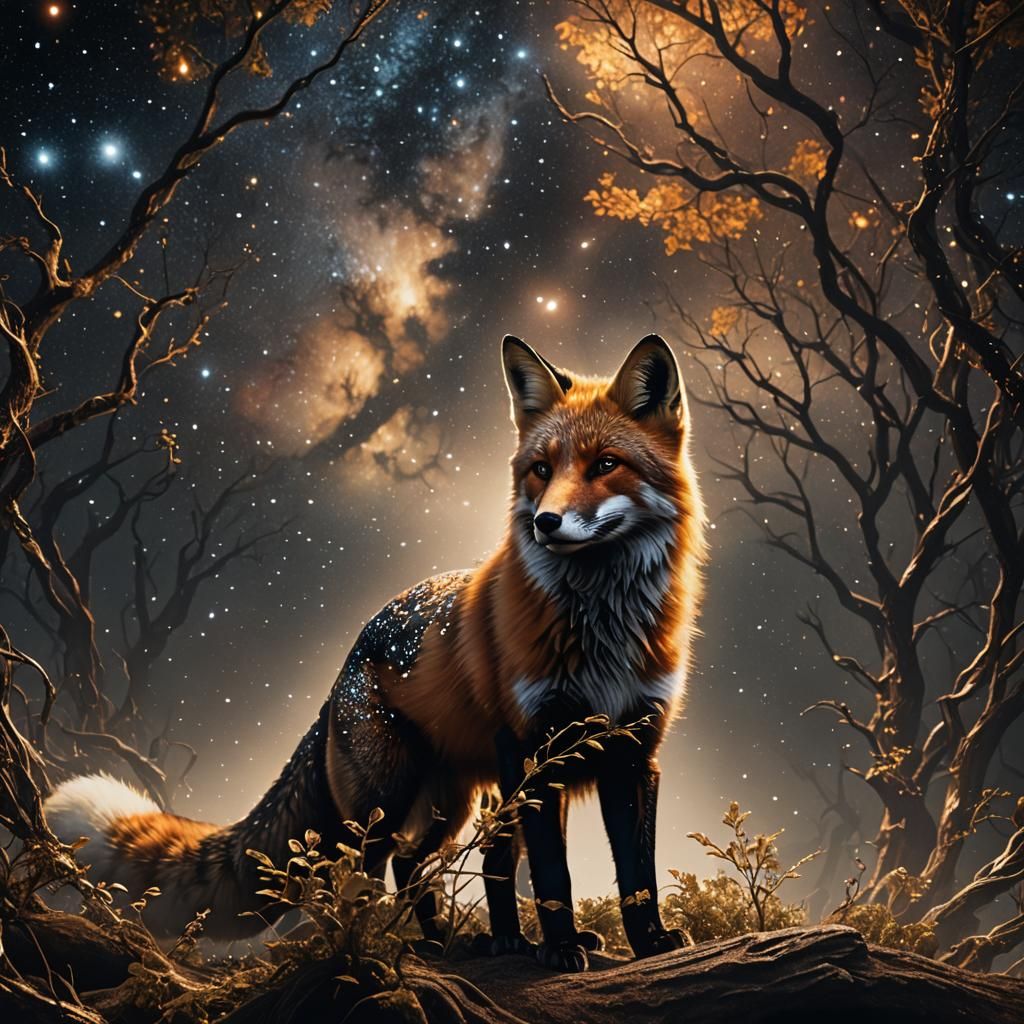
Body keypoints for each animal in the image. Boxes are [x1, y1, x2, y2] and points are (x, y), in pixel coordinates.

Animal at [44, 334, 705, 972]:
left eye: (606, 465)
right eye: (541, 469)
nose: (545, 522)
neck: (601, 632)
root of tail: (349, 656)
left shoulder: (634, 753)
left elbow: (637, 874)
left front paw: (649, 942)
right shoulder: (532, 752)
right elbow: (553, 877)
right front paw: (561, 949)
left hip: (455, 801)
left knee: (425, 862)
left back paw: (473, 943)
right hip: (388, 799)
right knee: (365, 871)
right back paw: (373, 950)